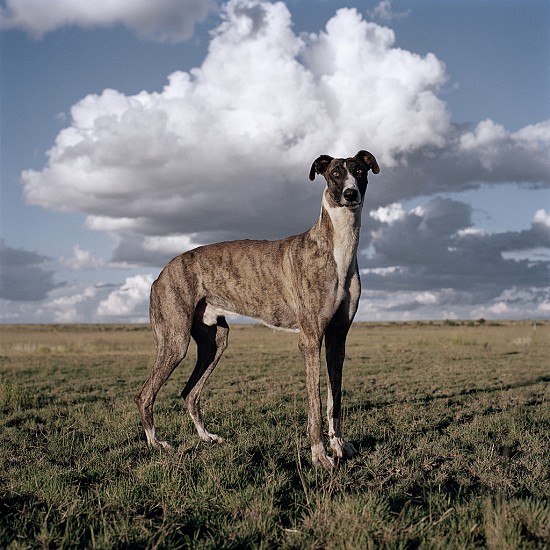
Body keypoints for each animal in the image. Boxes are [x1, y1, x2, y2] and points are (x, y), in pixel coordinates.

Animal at [136, 151, 382, 470]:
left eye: (360, 171)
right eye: (335, 174)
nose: (351, 195)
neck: (337, 249)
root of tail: (161, 274)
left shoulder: (337, 338)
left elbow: (334, 399)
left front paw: (339, 446)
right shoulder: (310, 339)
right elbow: (315, 403)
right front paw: (319, 456)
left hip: (215, 342)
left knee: (189, 393)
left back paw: (207, 437)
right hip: (174, 341)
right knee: (145, 395)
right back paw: (156, 443)